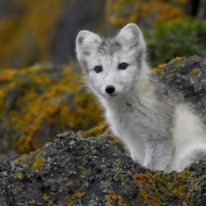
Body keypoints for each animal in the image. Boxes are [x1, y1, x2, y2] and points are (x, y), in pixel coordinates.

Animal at [75, 22, 206, 172]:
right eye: (98, 69)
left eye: (123, 65)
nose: (110, 88)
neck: (127, 109)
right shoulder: (130, 140)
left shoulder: (158, 137)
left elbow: (152, 167)